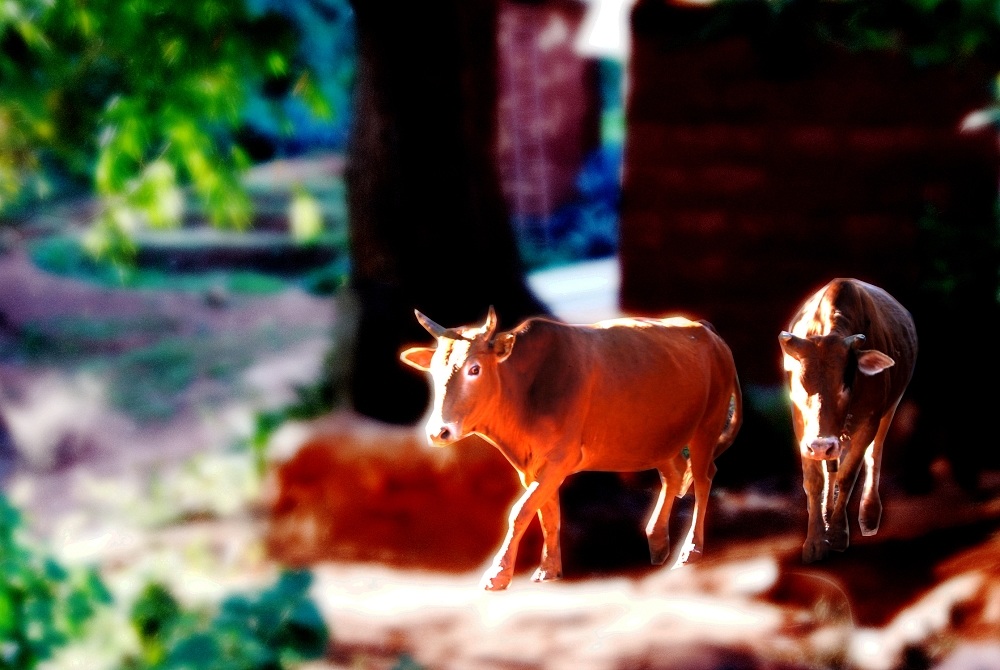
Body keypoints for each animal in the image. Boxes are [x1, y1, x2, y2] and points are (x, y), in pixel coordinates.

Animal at [400, 308, 744, 592]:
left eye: (474, 369)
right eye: (434, 371)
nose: (438, 431)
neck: (525, 392)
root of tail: (704, 328)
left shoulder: (559, 459)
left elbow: (520, 511)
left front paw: (498, 574)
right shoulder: (532, 467)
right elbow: (546, 514)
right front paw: (548, 569)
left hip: (706, 426)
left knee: (703, 479)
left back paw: (691, 550)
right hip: (661, 439)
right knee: (673, 475)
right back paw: (658, 542)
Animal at [776, 280, 916, 568]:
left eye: (845, 385)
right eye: (801, 385)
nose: (821, 444)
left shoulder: (869, 422)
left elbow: (849, 474)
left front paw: (838, 534)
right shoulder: (803, 428)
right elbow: (815, 480)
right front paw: (816, 540)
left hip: (890, 409)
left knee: (874, 454)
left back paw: (869, 514)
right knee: (831, 465)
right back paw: (827, 511)